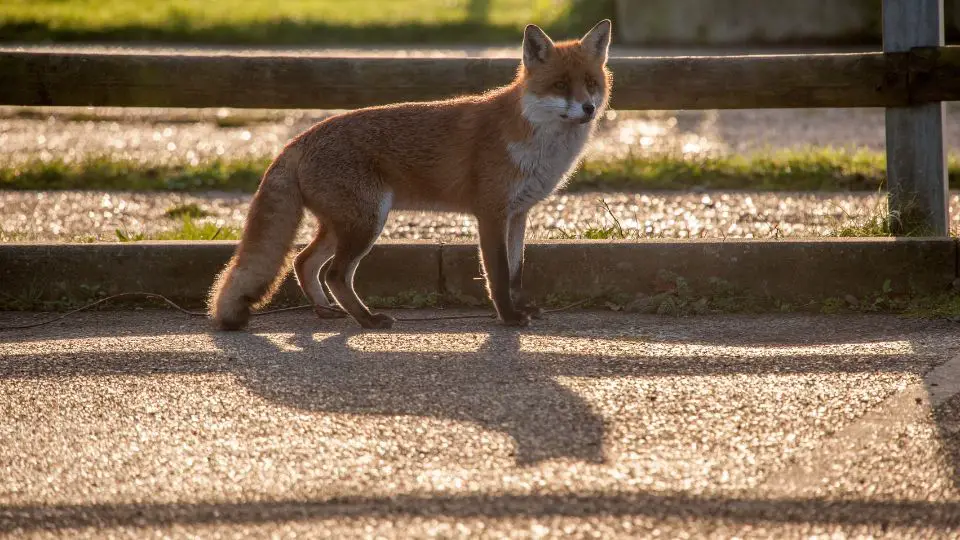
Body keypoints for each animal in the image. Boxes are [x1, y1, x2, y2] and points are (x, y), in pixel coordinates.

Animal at [210, 20, 616, 330]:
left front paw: (521, 308)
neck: (537, 142)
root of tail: (299, 138)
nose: (588, 108)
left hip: (345, 225)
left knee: (303, 262)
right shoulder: (491, 214)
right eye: (560, 85)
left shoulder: (518, 215)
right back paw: (367, 320)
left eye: (591, 84)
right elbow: (499, 275)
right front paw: (509, 318)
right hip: (366, 223)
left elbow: (516, 272)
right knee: (334, 274)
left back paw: (326, 312)